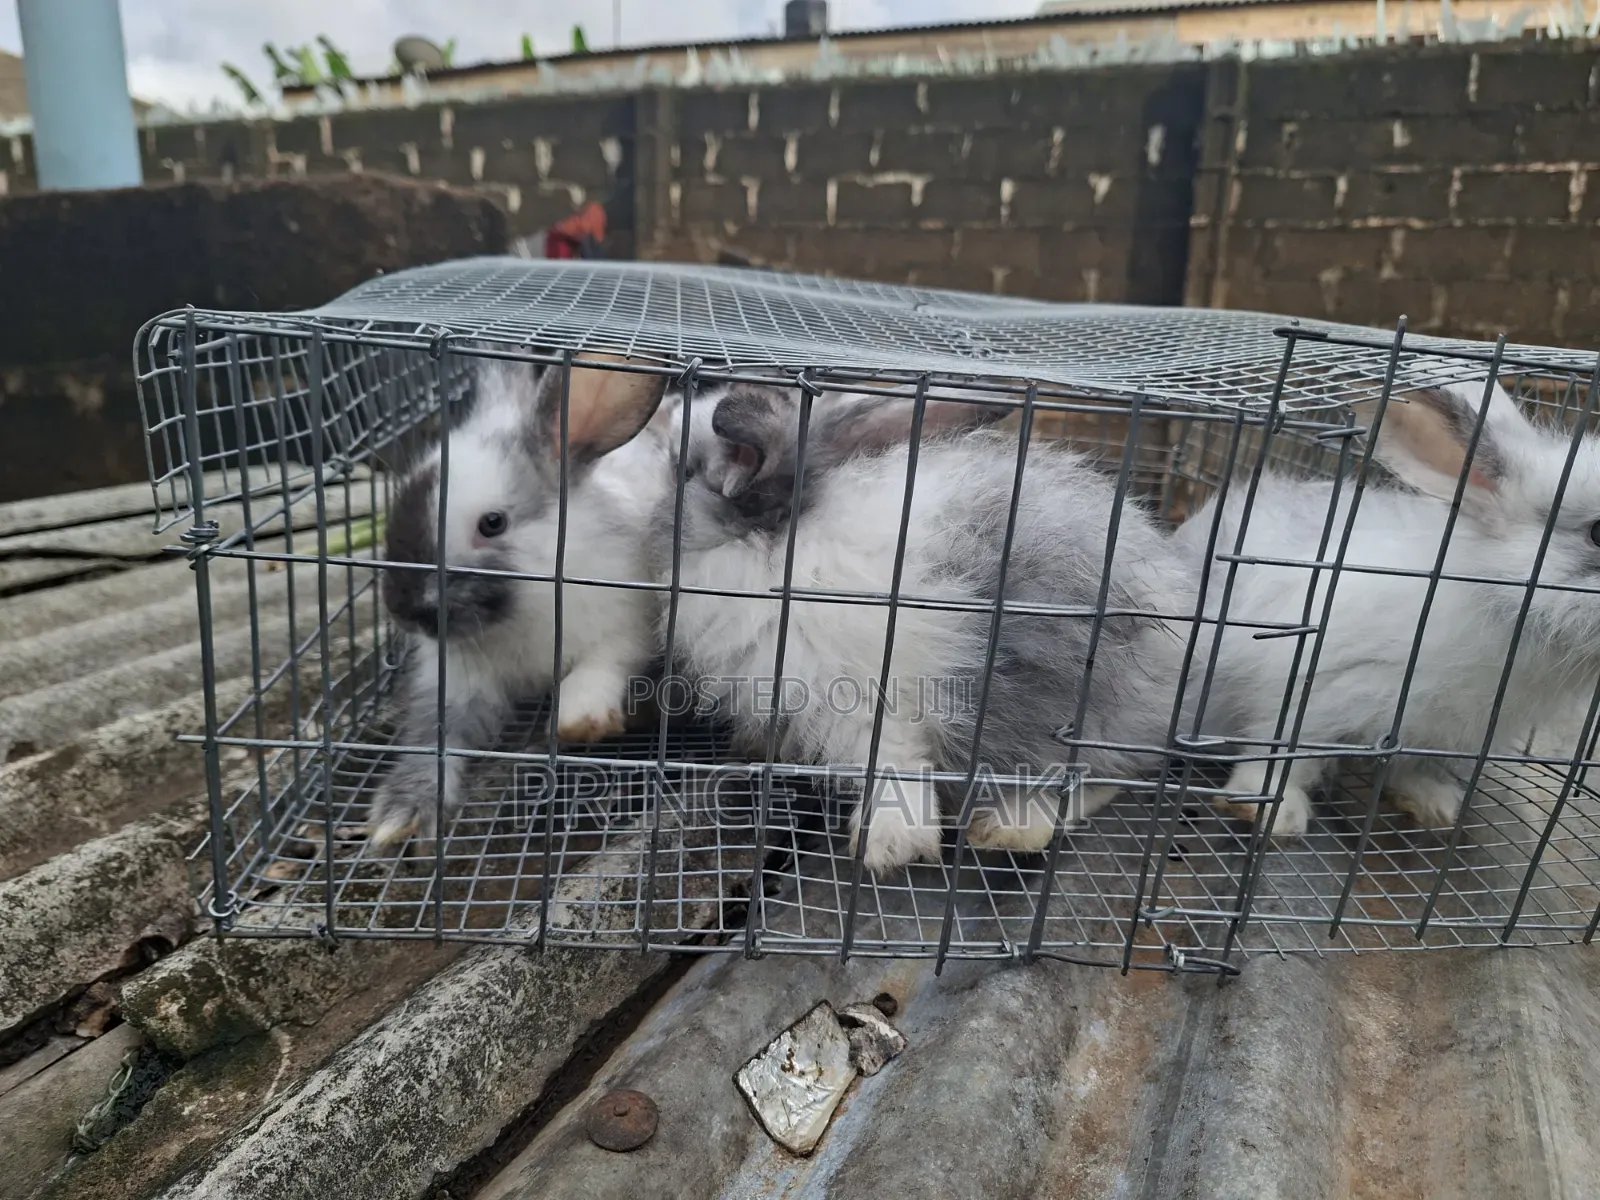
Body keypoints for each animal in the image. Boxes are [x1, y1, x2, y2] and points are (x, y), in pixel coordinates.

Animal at [368, 353, 672, 848]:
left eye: (493, 523)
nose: (404, 610)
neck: (527, 607)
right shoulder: (455, 679)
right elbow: (435, 733)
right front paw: (399, 816)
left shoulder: (627, 626)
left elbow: (602, 665)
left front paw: (578, 720)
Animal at [651, 382, 1190, 875]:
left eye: (683, 470)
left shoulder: (871, 697)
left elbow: (895, 763)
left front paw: (887, 847)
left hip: (1097, 713)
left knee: (1107, 775)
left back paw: (1010, 829)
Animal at [1175, 377, 1600, 839]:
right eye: (1599, 533)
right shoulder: (1310, 686)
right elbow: (1279, 750)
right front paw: (1271, 812)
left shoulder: (1434, 734)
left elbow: (1411, 766)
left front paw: (1434, 806)